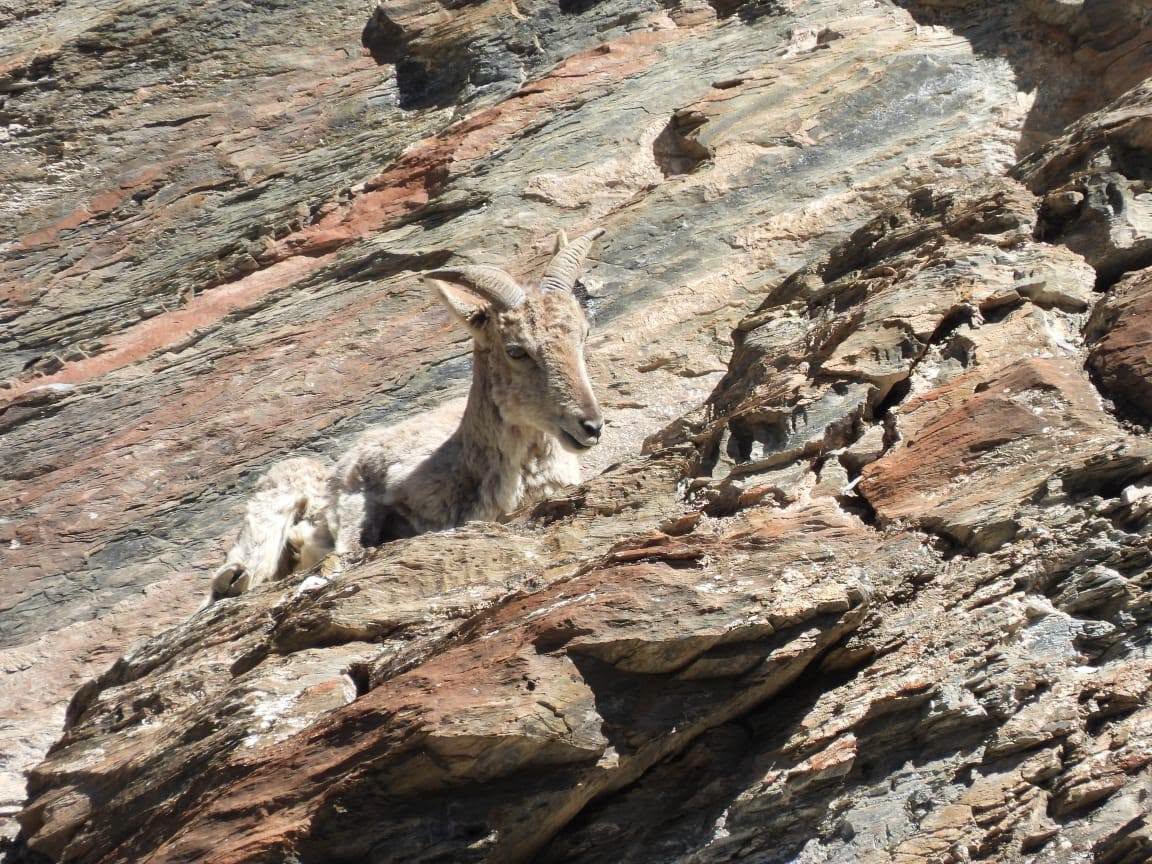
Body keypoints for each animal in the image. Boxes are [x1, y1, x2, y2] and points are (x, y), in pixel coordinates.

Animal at [206, 228, 605, 602]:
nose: (591, 425)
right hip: (285, 485)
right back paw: (239, 574)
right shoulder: (359, 484)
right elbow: (351, 542)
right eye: (516, 350)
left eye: (583, 334)